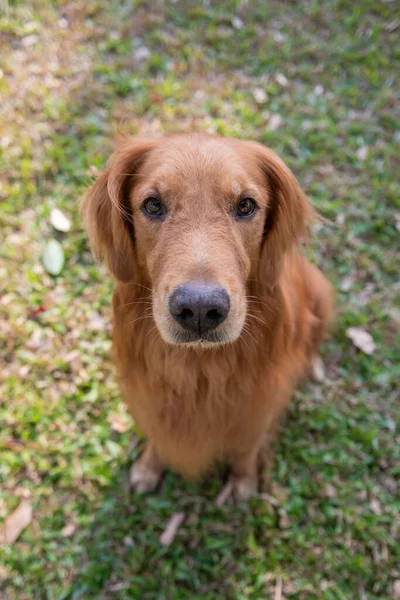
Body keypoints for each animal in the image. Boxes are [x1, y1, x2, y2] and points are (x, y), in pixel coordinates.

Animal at [83, 132, 332, 502]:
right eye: (153, 205)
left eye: (246, 205)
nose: (199, 309)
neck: (199, 368)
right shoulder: (148, 396)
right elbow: (158, 434)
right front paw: (149, 467)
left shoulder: (258, 404)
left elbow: (246, 448)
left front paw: (243, 482)